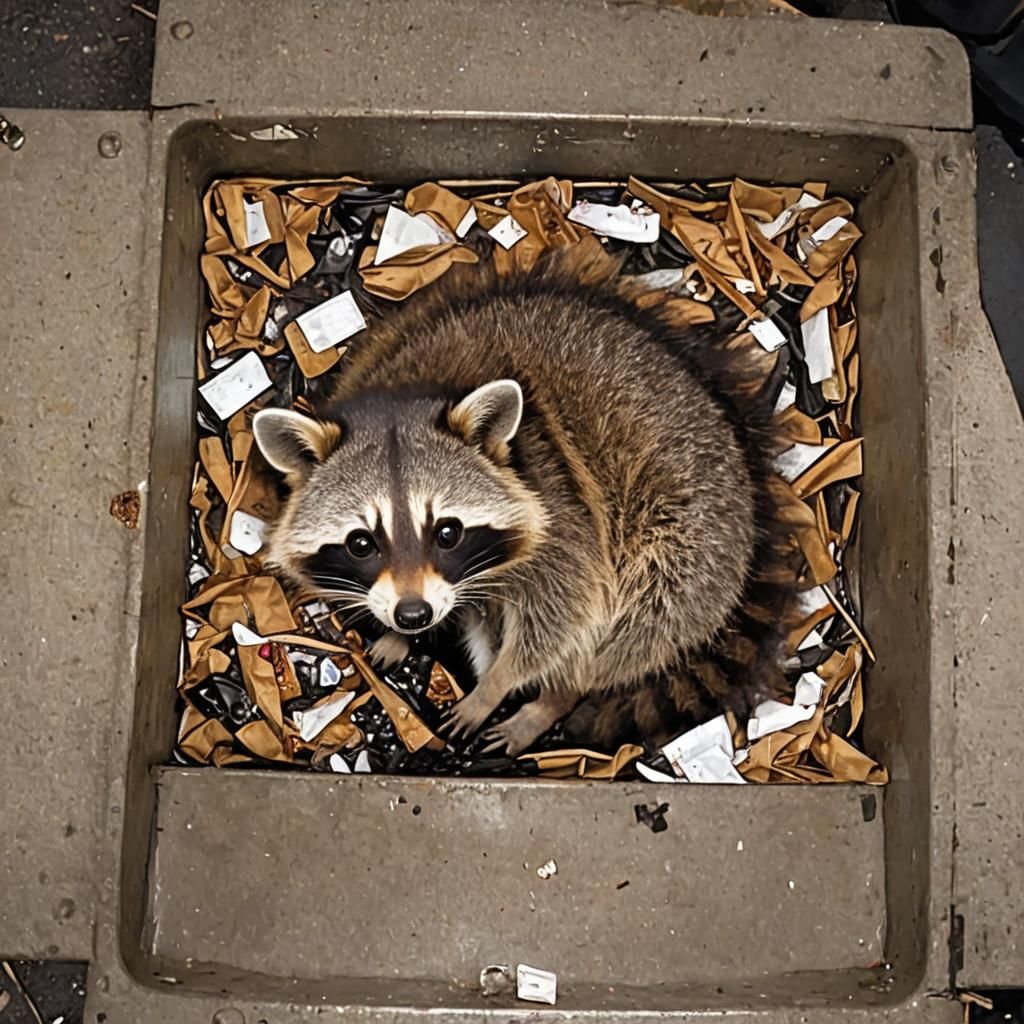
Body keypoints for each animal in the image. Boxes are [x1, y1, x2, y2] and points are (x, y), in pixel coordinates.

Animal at [252, 245, 797, 755]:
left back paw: (558, 695)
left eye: (447, 532)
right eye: (362, 543)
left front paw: (497, 685)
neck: (412, 392)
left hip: (692, 550)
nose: (414, 616)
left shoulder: (565, 507)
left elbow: (567, 611)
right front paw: (399, 632)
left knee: (636, 619)